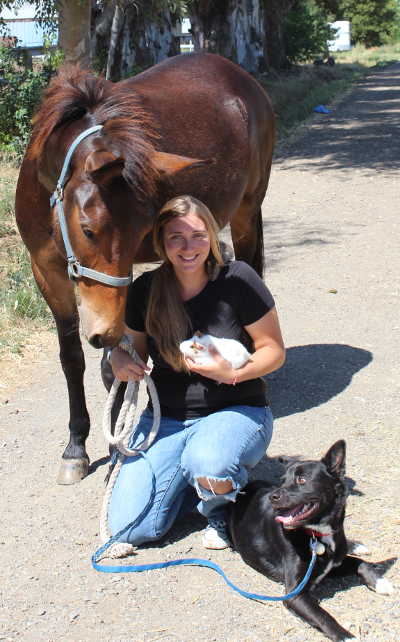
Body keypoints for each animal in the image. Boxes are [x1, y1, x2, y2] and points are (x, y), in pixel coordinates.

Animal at [15, 52, 275, 484]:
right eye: (88, 228)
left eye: (142, 228)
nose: (102, 331)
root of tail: (240, 77)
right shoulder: (47, 272)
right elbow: (74, 359)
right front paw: (76, 447)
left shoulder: (120, 287)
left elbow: (112, 368)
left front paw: (114, 448)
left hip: (245, 212)